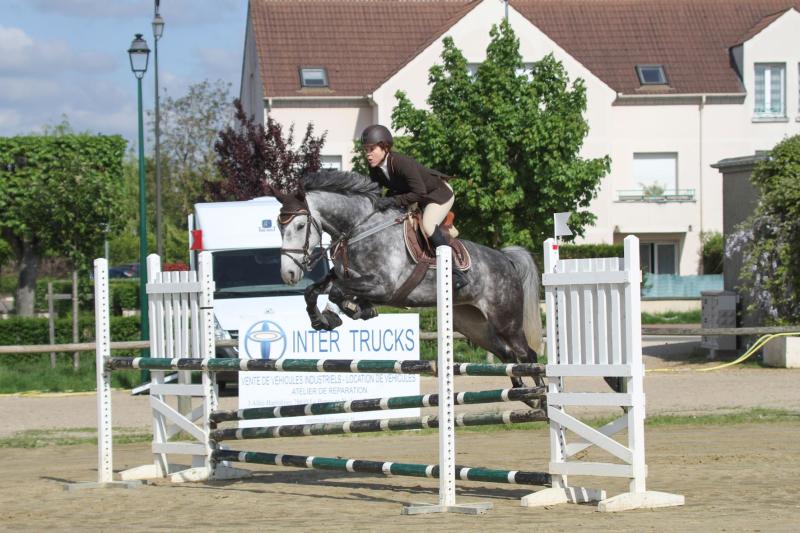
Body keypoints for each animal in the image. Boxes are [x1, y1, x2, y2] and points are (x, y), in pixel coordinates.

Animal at [274, 170, 544, 398]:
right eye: (279, 226)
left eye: (300, 225)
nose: (288, 274)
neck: (359, 229)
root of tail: (506, 259)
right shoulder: (348, 276)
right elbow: (314, 291)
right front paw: (323, 319)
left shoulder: (384, 287)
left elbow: (339, 292)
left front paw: (352, 310)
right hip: (472, 323)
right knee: (507, 353)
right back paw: (524, 395)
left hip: (505, 319)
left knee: (526, 354)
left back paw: (540, 397)